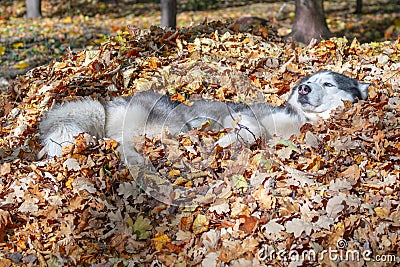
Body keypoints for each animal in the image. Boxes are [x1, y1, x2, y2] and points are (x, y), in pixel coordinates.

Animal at [39, 71, 368, 165]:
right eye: (309, 80)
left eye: (329, 84)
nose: (302, 88)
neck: (298, 120)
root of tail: (108, 106)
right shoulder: (245, 113)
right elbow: (253, 129)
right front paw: (224, 139)